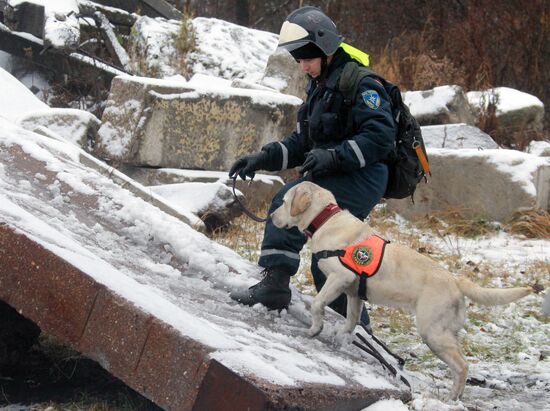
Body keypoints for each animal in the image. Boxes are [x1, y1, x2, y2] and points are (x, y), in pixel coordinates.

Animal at [274, 182, 536, 400]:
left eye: (285, 202)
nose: (272, 217)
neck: (326, 219)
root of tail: (455, 280)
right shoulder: (354, 294)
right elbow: (351, 321)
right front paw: (340, 336)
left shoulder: (340, 277)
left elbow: (318, 303)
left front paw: (315, 329)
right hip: (445, 332)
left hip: (432, 332)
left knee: (462, 366)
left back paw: (451, 398)